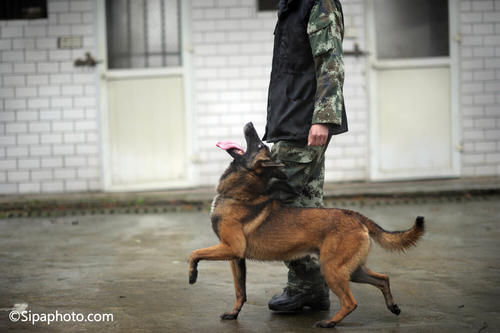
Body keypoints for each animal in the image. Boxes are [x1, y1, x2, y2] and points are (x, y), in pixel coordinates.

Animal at [189, 122, 424, 326]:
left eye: (259, 145)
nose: (250, 124)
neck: (240, 195)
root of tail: (354, 215)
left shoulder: (231, 248)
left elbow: (194, 253)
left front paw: (192, 275)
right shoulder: (236, 258)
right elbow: (240, 291)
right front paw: (234, 313)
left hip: (332, 269)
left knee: (351, 302)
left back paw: (329, 323)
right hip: (352, 270)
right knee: (383, 279)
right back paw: (392, 306)